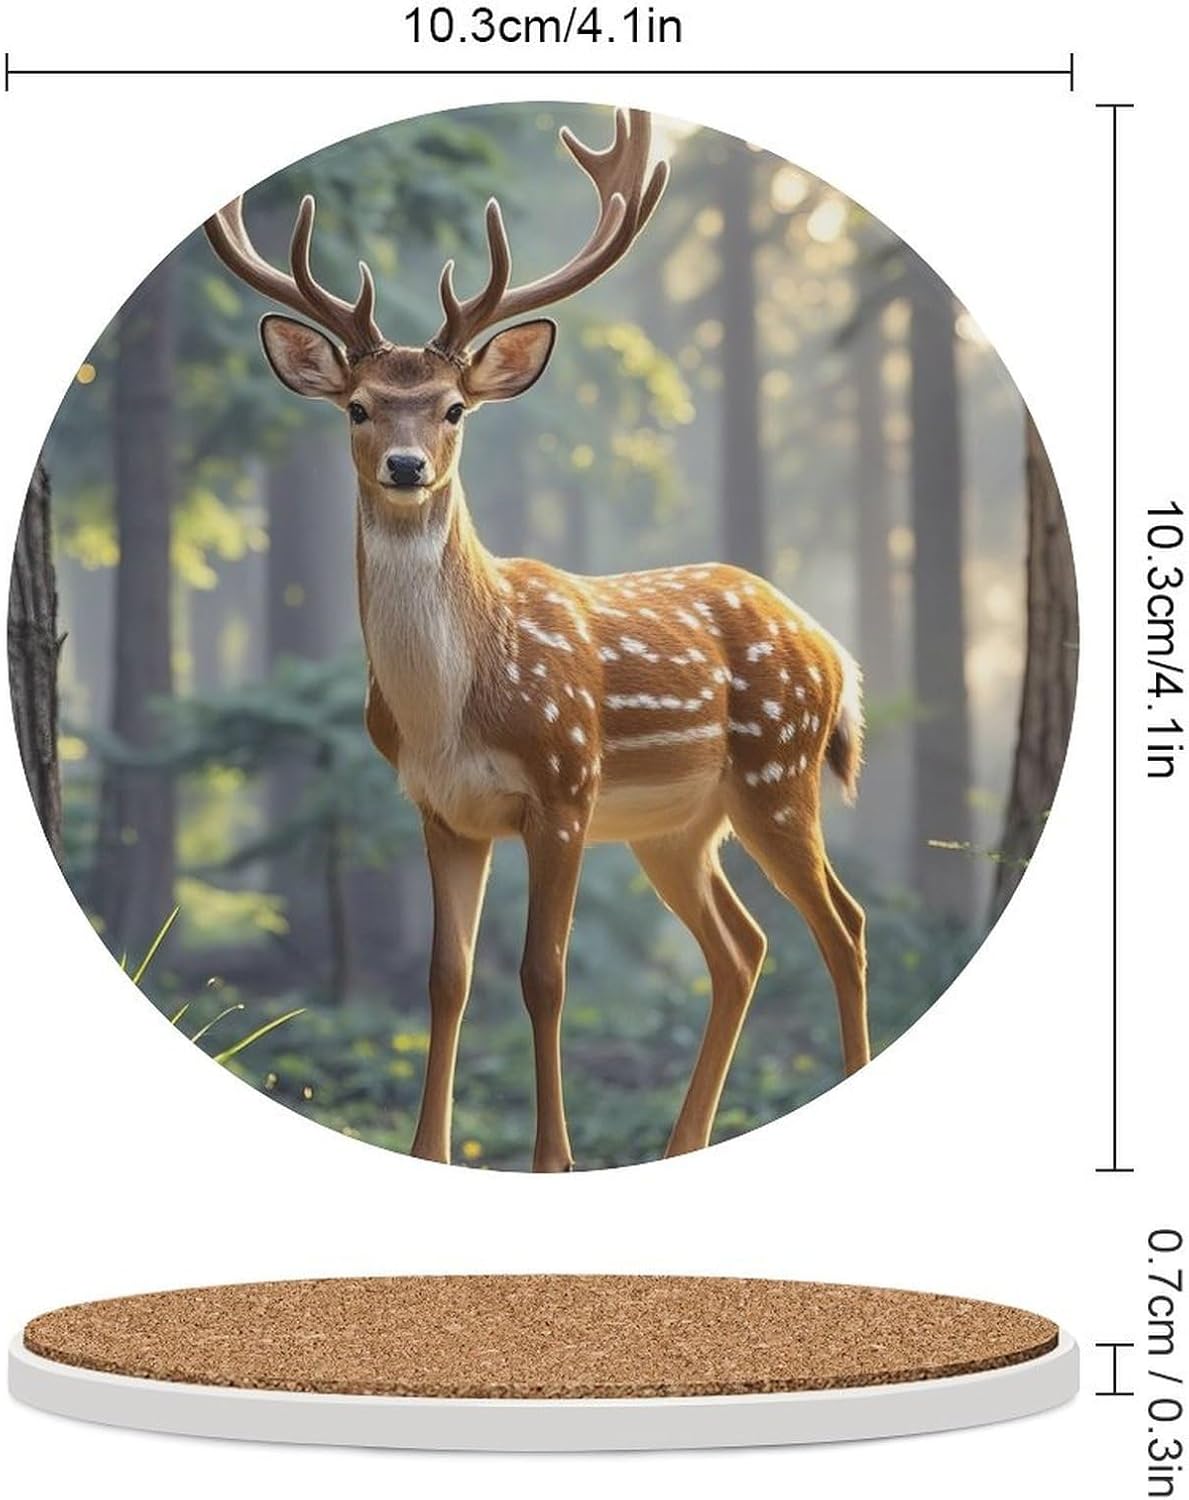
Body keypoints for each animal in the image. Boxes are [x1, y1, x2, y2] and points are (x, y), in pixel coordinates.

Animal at [204, 107, 869, 1173]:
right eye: (357, 406)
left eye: (452, 408)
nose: (404, 466)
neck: (450, 707)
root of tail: (830, 648)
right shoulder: (439, 808)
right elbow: (447, 976)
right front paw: (431, 1151)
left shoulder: (563, 785)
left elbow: (543, 973)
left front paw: (552, 1159)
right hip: (679, 826)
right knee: (742, 949)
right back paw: (681, 1144)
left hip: (777, 768)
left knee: (839, 926)